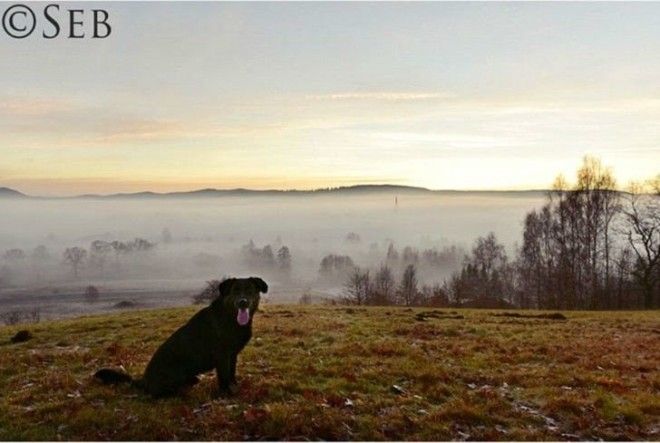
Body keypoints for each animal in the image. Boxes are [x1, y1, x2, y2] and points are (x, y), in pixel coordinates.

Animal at [93, 278, 268, 398]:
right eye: (235, 291)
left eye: (250, 290)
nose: (242, 302)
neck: (230, 317)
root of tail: (144, 381)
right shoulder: (223, 356)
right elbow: (225, 377)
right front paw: (227, 394)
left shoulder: (232, 355)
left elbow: (232, 374)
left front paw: (235, 387)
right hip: (175, 373)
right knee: (160, 394)